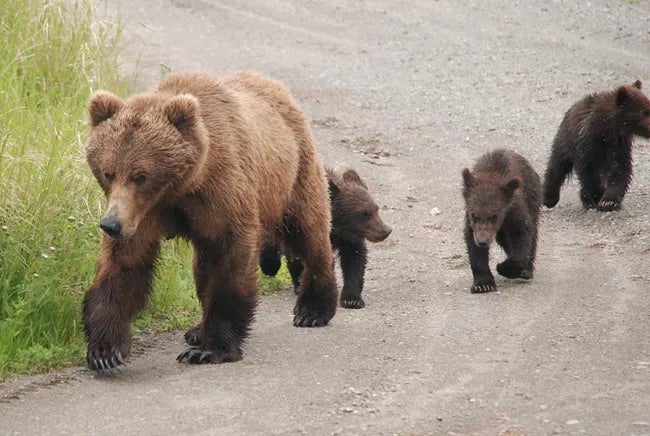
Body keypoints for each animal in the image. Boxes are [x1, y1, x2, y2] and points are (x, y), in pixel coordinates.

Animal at [83, 71, 338, 372]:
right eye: (109, 172)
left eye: (141, 176)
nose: (110, 225)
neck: (181, 187)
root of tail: (277, 86)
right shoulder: (142, 214)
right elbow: (124, 265)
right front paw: (105, 351)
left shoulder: (222, 194)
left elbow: (229, 263)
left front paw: (210, 349)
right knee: (202, 269)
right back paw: (196, 330)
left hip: (293, 175)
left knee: (308, 231)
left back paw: (313, 309)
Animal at [259, 168, 392, 309]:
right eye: (363, 213)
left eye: (376, 209)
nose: (386, 230)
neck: (336, 229)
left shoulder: (349, 240)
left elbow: (355, 262)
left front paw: (352, 299)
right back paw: (269, 266)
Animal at [462, 149, 542, 294]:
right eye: (475, 214)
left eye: (494, 215)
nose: (482, 241)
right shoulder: (472, 224)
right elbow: (473, 245)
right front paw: (483, 284)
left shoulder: (515, 211)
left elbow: (522, 235)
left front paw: (503, 267)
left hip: (532, 197)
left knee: (532, 234)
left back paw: (526, 271)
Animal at [543, 80, 650, 211]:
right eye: (644, 112)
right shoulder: (587, 142)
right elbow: (588, 170)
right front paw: (597, 195)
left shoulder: (618, 145)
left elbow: (620, 169)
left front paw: (609, 201)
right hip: (565, 140)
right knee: (557, 165)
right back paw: (550, 197)